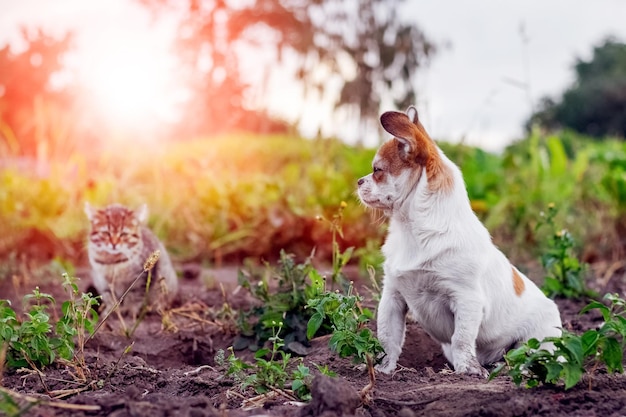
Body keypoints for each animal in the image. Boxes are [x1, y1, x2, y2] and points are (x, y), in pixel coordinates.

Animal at [356, 105, 560, 376]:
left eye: (377, 171)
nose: (359, 181)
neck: (412, 231)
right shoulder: (393, 297)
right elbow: (388, 338)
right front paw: (383, 369)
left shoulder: (466, 300)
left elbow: (462, 338)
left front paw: (467, 371)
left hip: (540, 341)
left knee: (534, 359)